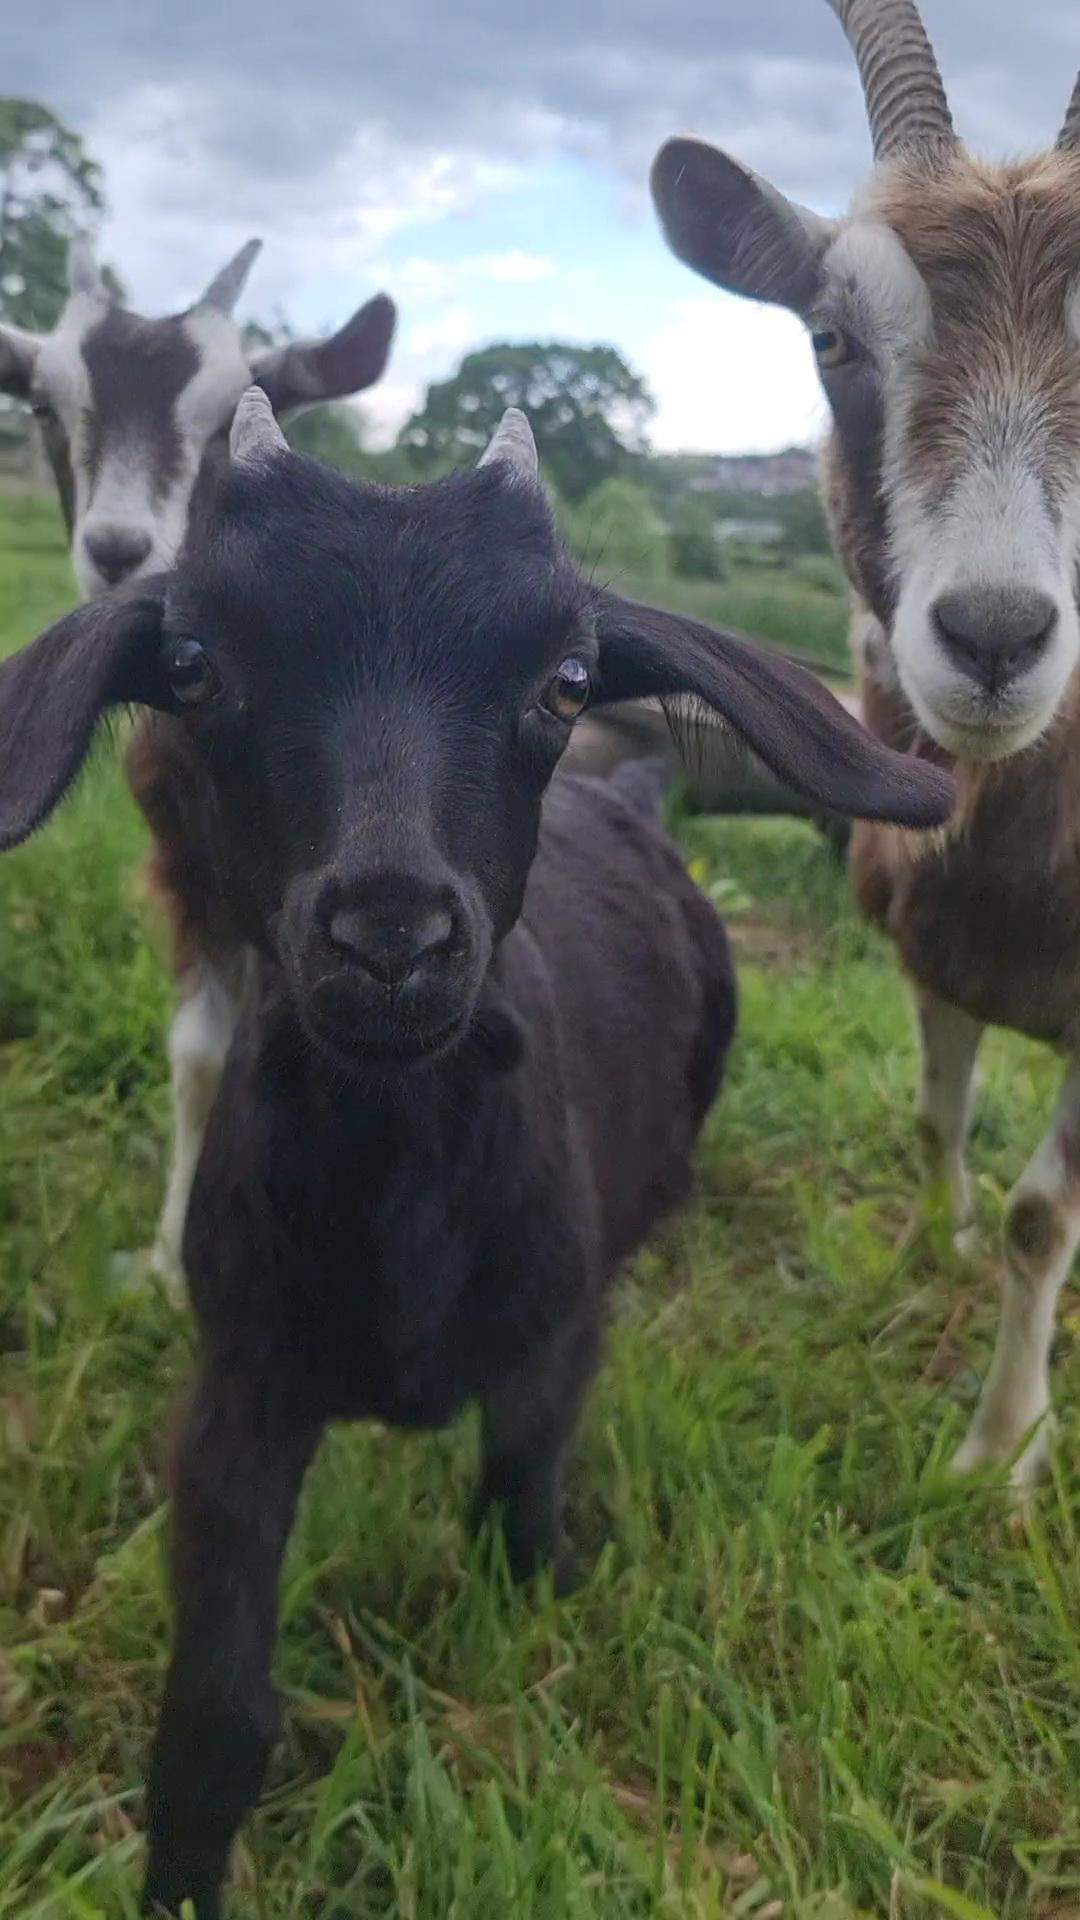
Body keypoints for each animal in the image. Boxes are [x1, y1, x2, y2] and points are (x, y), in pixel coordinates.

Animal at [0, 240, 395, 1290]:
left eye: (230, 418)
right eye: (44, 406)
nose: (119, 550)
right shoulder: (187, 872)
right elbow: (200, 1057)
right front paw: (176, 1259)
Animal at [0, 385, 945, 1904]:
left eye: (565, 681)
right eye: (193, 666)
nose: (392, 934)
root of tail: (635, 799)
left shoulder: (551, 1351)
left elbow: (514, 1535)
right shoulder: (240, 1382)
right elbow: (218, 1707)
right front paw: (183, 1876)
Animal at [653, 0, 1080, 1482]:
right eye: (831, 341)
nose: (997, 636)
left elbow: (1042, 1218)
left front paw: (1000, 1460)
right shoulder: (929, 946)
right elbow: (935, 1119)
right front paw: (929, 1253)